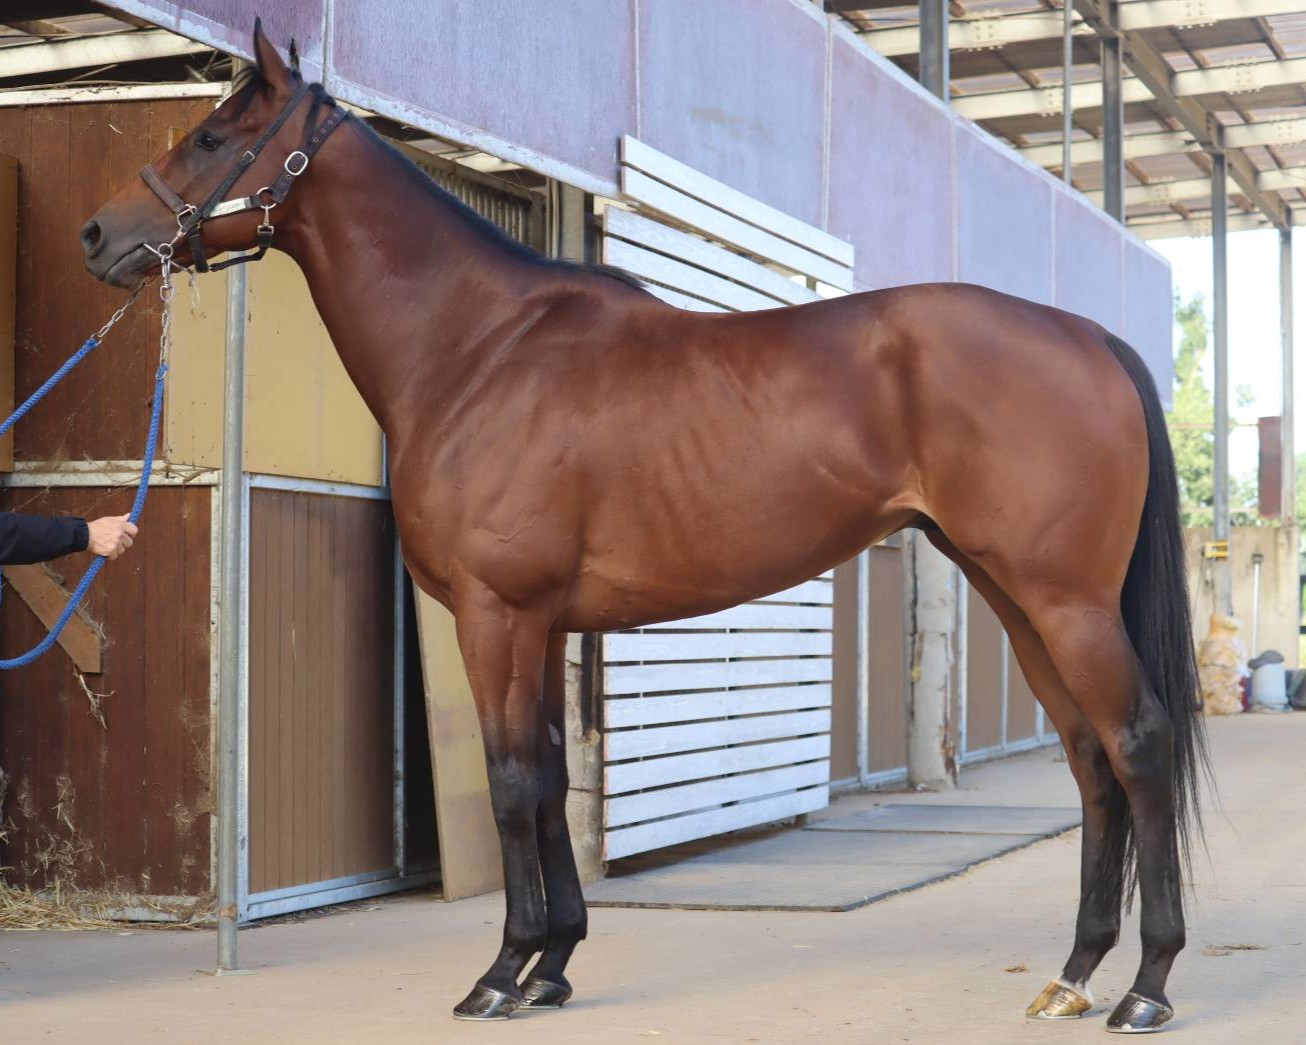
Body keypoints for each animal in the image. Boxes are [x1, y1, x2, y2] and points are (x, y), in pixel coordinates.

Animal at [81, 20, 1207, 1033]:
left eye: (214, 137)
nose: (99, 236)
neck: (477, 349)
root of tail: (1084, 334)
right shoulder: (535, 623)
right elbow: (544, 780)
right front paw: (553, 965)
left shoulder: (495, 614)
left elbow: (509, 783)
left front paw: (500, 974)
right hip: (1016, 596)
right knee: (1090, 759)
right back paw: (1074, 973)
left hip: (1064, 601)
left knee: (1138, 744)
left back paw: (1148, 986)